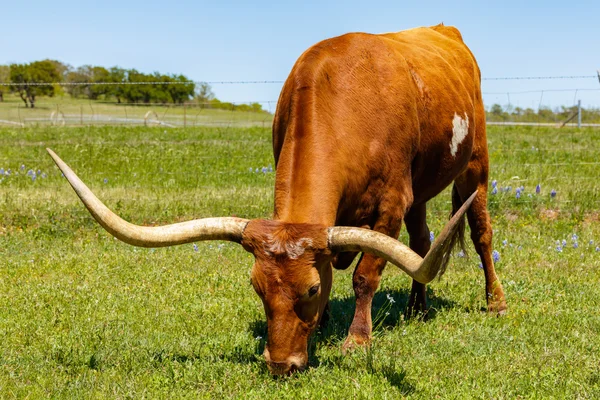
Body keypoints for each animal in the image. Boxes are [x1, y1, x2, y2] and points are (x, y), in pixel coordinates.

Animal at [48, 24, 506, 376]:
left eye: (309, 289)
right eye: (256, 287)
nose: (280, 364)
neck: (347, 95)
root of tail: (446, 30)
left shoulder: (392, 203)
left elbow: (365, 276)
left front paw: (356, 341)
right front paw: (325, 324)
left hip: (476, 166)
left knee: (481, 234)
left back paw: (496, 303)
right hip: (424, 189)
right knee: (425, 242)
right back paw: (417, 308)